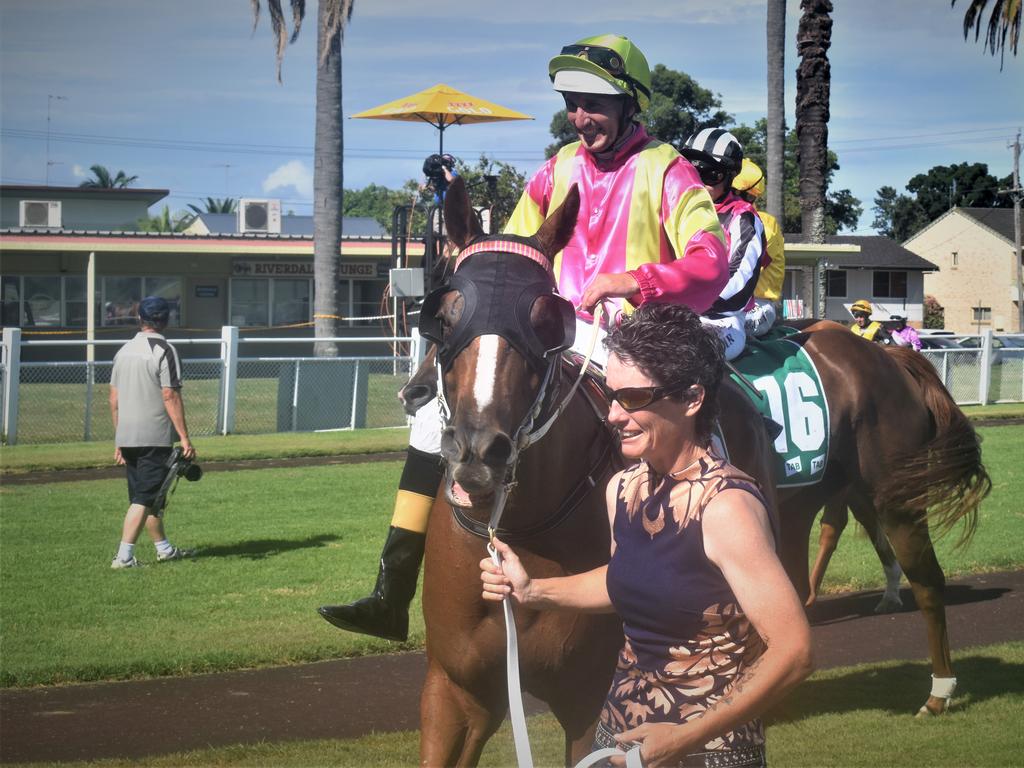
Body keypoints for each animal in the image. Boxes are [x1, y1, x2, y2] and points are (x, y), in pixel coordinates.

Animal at [415, 177, 774, 765]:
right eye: (443, 317)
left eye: (546, 322)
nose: (478, 451)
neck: (519, 527)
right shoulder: (455, 691)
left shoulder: (591, 703)